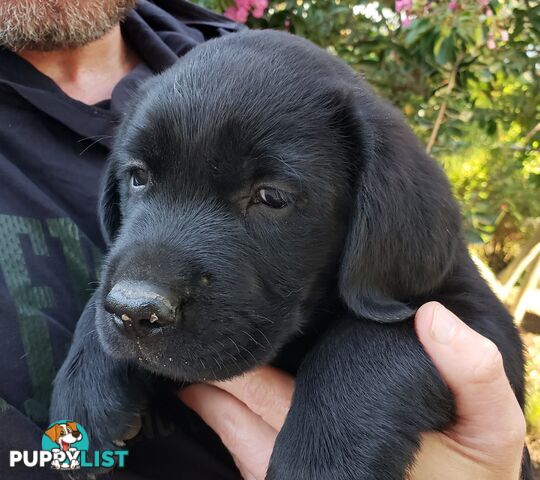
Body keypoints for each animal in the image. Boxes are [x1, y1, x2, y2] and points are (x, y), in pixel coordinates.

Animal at [50, 31, 532, 480]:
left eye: (272, 197)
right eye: (138, 177)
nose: (135, 311)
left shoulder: (479, 321)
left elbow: (372, 340)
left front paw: (321, 461)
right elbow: (100, 294)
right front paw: (84, 384)